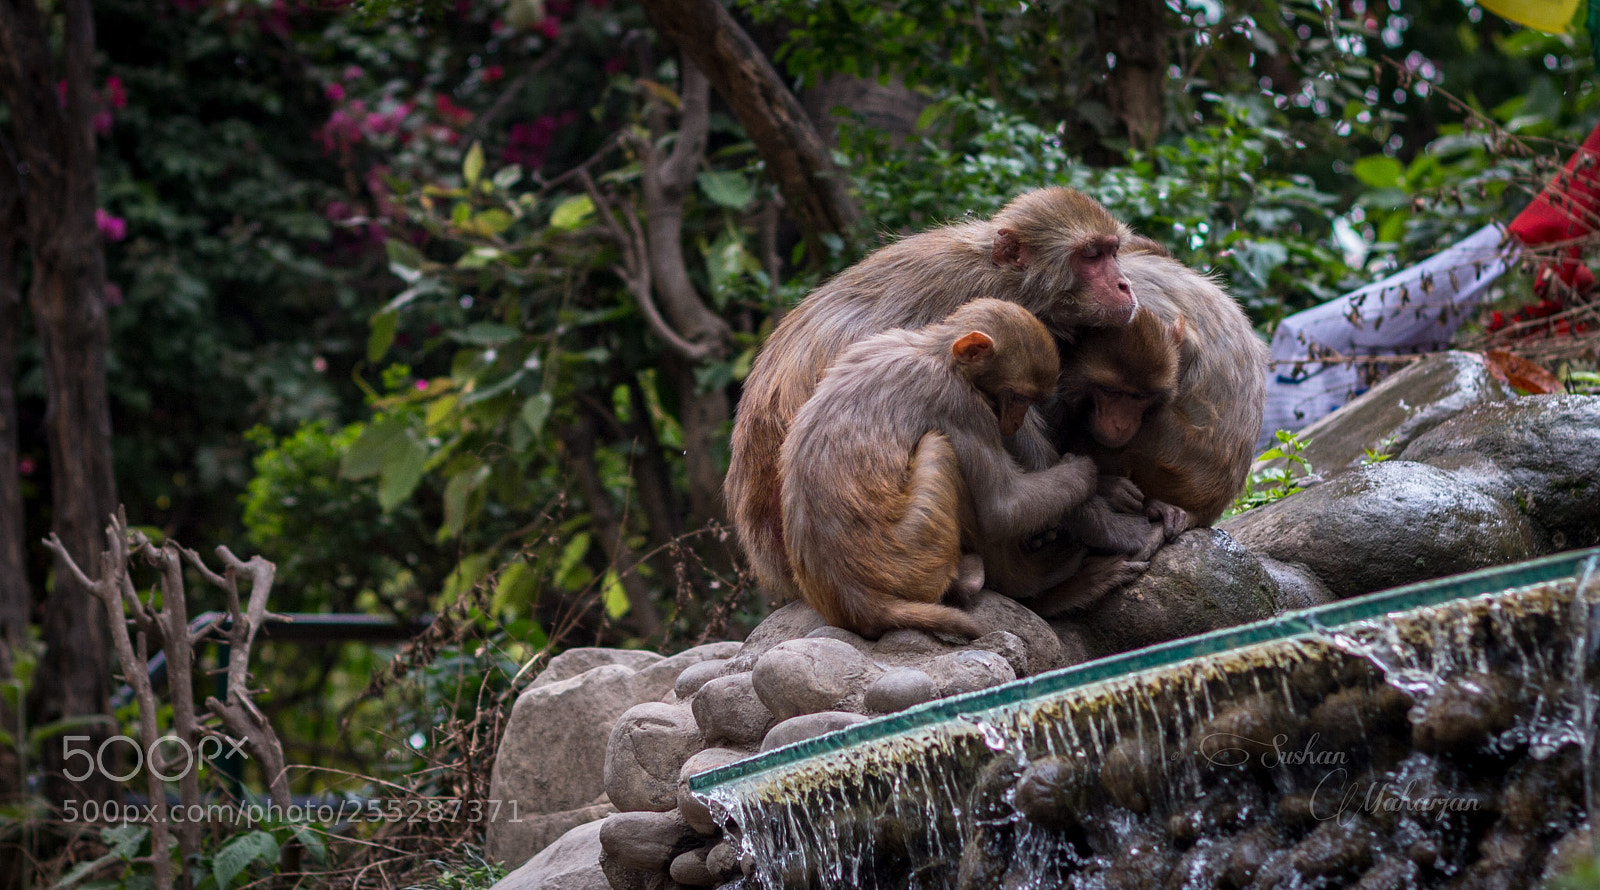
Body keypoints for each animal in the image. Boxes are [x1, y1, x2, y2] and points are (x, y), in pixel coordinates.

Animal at [728, 187, 1158, 602]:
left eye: (1112, 250)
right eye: (1090, 256)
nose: (1124, 284)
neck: (1006, 277)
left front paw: (1106, 488)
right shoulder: (985, 334)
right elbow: (1008, 481)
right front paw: (1107, 524)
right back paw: (1044, 584)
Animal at [779, 299, 1114, 639]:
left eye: (1029, 400)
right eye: (1018, 397)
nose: (1015, 422)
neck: (936, 353)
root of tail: (856, 601)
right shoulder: (961, 404)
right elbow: (1002, 507)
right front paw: (1087, 471)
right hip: (915, 556)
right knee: (939, 449)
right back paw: (1028, 579)